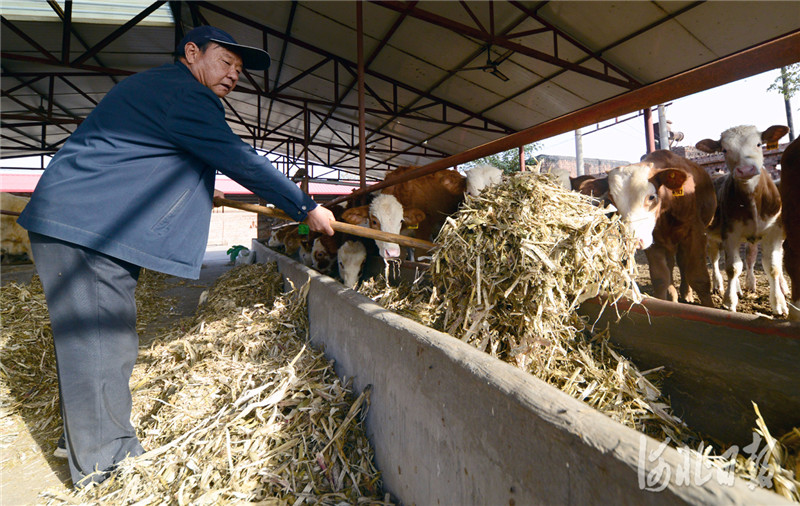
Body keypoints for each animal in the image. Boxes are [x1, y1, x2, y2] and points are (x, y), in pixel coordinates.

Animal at [592, 150, 716, 306]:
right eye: (612, 200)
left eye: (651, 197)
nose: (633, 241)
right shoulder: (652, 241)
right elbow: (660, 279)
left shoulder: (696, 233)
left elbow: (699, 278)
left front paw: (709, 306)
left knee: (682, 262)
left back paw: (686, 293)